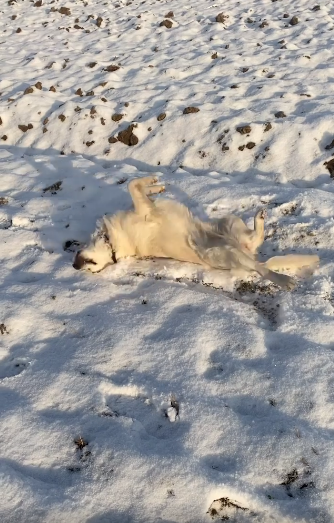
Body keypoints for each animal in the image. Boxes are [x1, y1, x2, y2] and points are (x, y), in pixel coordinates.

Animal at [72, 176, 318, 290]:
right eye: (93, 267)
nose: (74, 266)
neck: (114, 246)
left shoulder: (144, 207)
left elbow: (135, 186)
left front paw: (156, 186)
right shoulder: (144, 209)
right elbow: (133, 186)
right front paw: (152, 182)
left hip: (229, 222)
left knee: (255, 238)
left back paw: (259, 218)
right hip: (225, 253)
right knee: (262, 269)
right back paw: (284, 281)